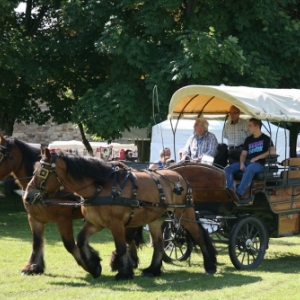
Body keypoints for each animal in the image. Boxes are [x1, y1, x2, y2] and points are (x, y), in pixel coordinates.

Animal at [22, 149, 216, 280]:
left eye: (42, 172)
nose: (28, 196)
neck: (101, 187)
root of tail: (180, 177)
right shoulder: (95, 223)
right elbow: (81, 240)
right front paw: (93, 265)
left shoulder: (115, 224)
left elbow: (121, 247)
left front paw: (124, 272)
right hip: (155, 219)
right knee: (159, 244)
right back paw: (152, 270)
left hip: (184, 213)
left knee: (199, 235)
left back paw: (210, 265)